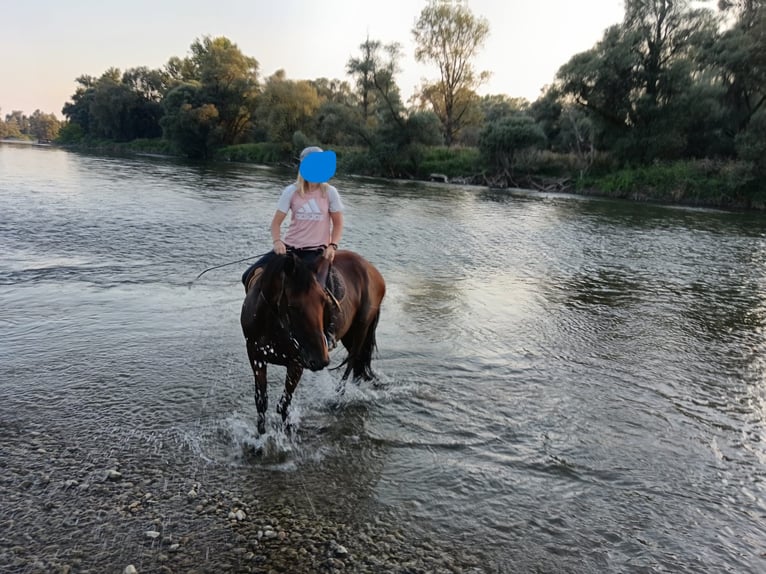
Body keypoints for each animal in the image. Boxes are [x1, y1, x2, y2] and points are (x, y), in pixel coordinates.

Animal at [240, 249, 385, 435]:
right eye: (293, 306)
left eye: (324, 301)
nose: (320, 360)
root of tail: (373, 270)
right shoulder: (256, 357)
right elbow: (261, 402)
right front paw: (261, 436)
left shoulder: (297, 363)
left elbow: (284, 404)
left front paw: (287, 432)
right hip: (349, 334)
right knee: (358, 365)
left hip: (362, 328)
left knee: (352, 362)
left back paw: (337, 398)